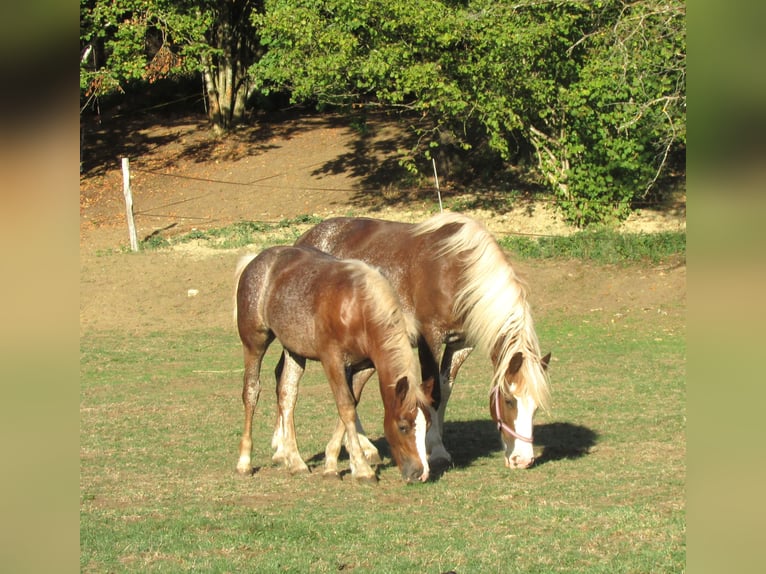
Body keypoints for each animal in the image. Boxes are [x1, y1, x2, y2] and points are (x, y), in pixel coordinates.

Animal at [234, 245, 432, 483]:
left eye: (428, 424)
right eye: (403, 426)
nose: (421, 473)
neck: (358, 307)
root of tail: (256, 260)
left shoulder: (364, 365)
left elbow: (350, 405)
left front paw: (332, 464)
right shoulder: (332, 360)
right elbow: (345, 407)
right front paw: (363, 469)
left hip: (294, 351)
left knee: (287, 395)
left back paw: (296, 461)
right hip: (254, 343)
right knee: (251, 392)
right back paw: (244, 462)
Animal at [292, 212, 551, 470]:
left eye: (536, 406)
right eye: (509, 400)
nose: (523, 459)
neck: (455, 270)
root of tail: (305, 239)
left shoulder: (461, 344)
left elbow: (445, 389)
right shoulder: (430, 338)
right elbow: (433, 392)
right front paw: (435, 449)